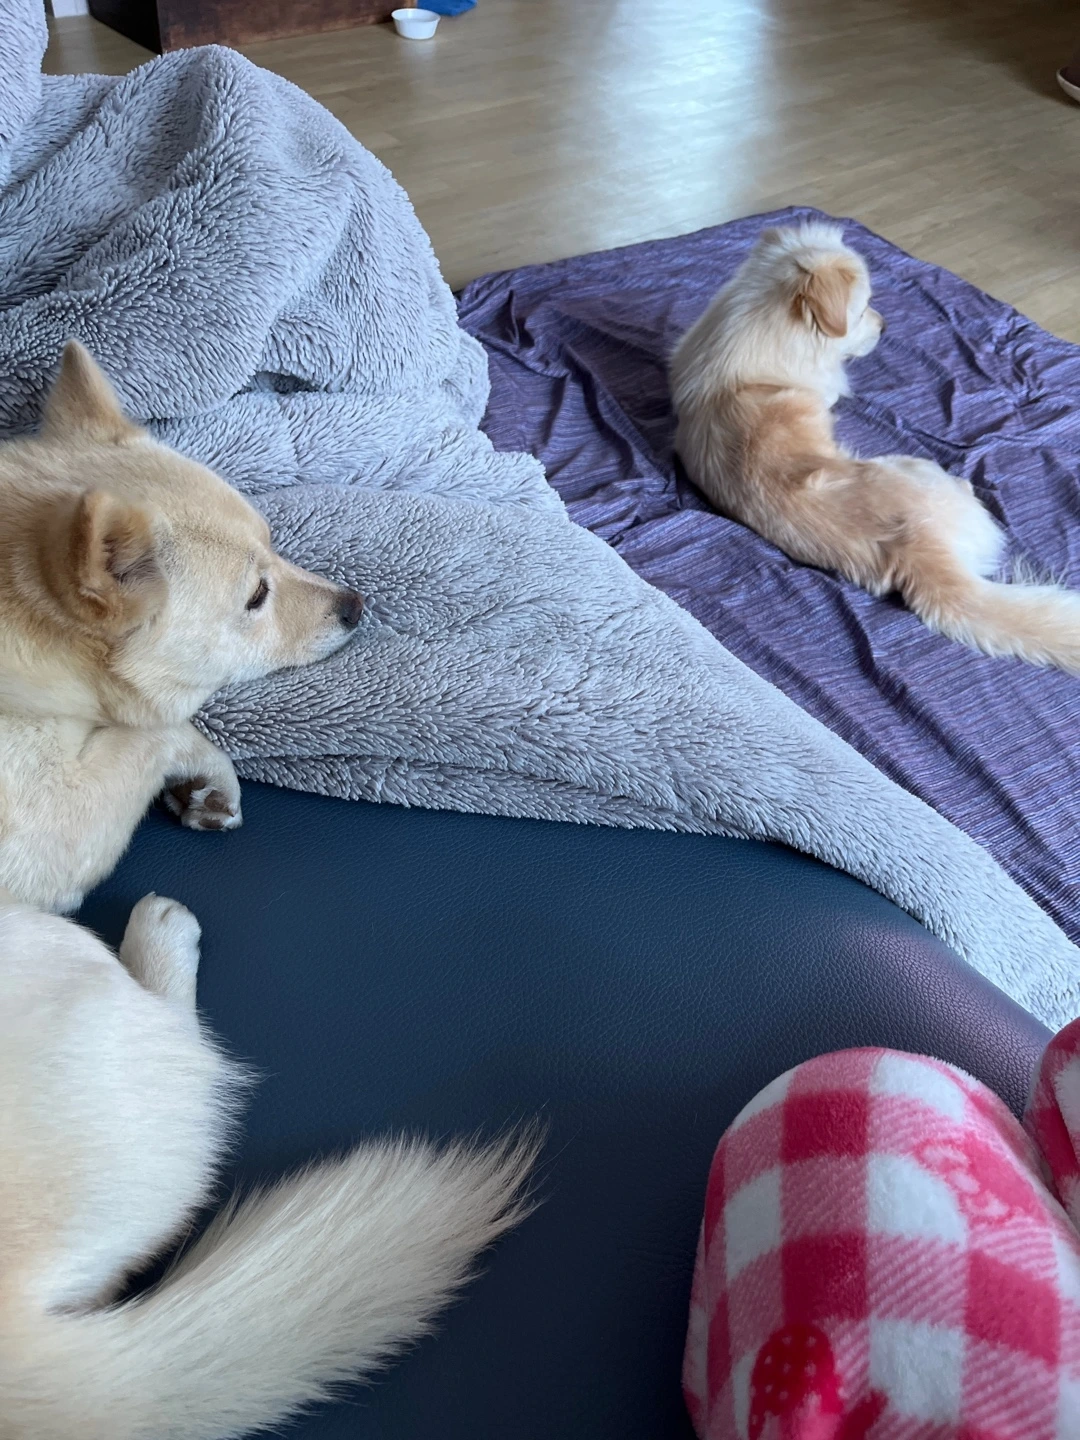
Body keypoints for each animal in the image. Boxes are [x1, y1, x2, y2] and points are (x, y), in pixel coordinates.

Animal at [0, 341, 366, 912]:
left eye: (273, 543)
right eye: (256, 595)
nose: (357, 605)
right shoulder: (45, 831)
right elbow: (158, 730)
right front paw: (207, 773)